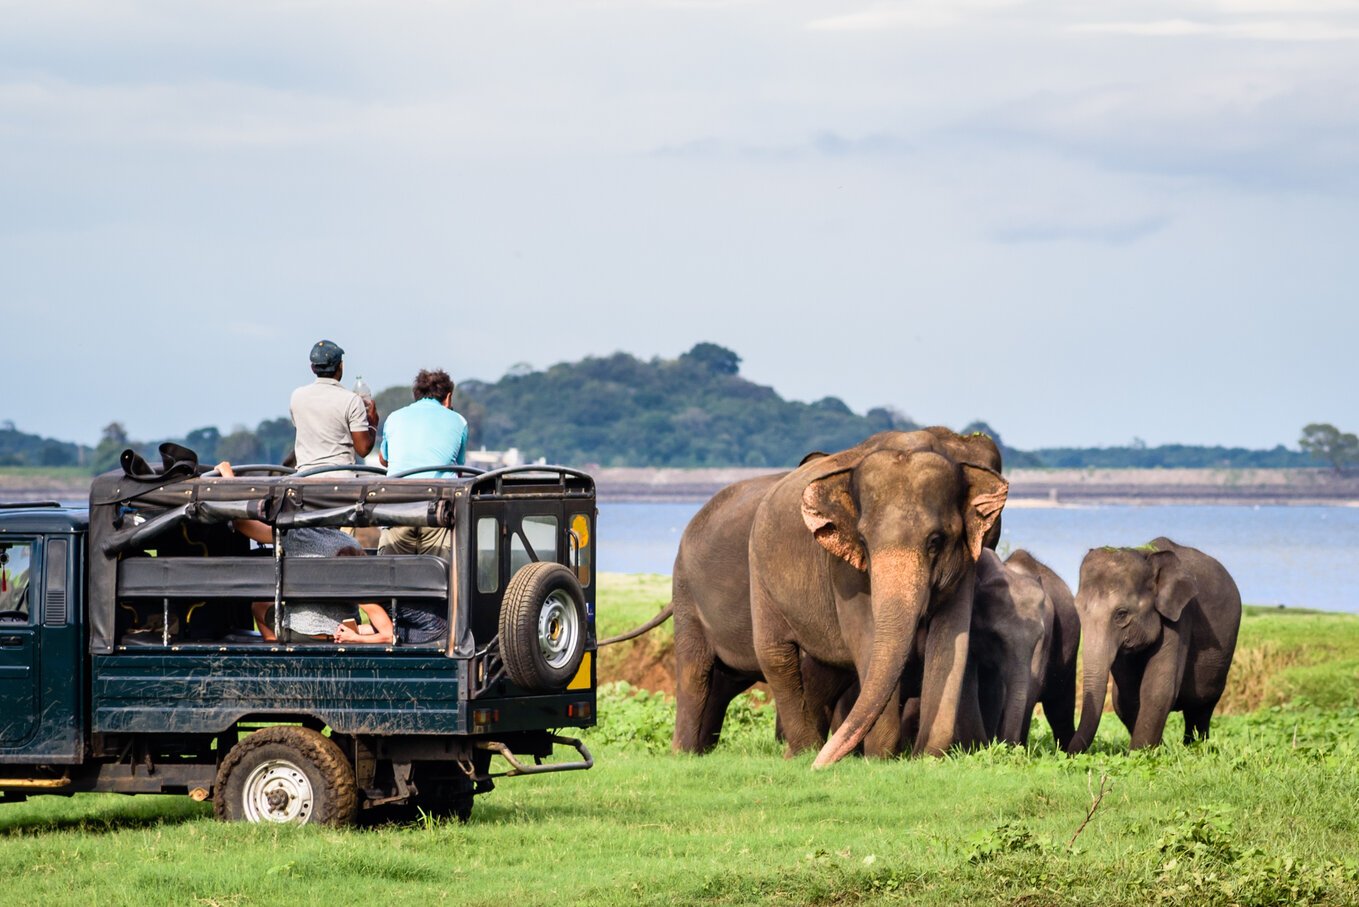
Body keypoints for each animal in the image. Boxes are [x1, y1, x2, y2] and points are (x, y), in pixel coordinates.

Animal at [1065, 535, 1244, 756]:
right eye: (1078, 610)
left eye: (1121, 614)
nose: (1065, 752)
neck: (1146, 555)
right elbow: (1126, 698)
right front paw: (1154, 751)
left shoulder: (1180, 616)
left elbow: (1157, 688)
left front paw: (1139, 755)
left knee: (1201, 708)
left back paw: (1195, 749)